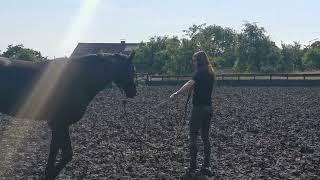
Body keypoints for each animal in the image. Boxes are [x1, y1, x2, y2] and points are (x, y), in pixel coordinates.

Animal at [0, 52, 136, 179]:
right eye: (131, 70)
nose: (133, 93)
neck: (78, 80)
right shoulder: (58, 123)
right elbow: (56, 149)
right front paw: (49, 172)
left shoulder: (62, 124)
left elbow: (67, 153)